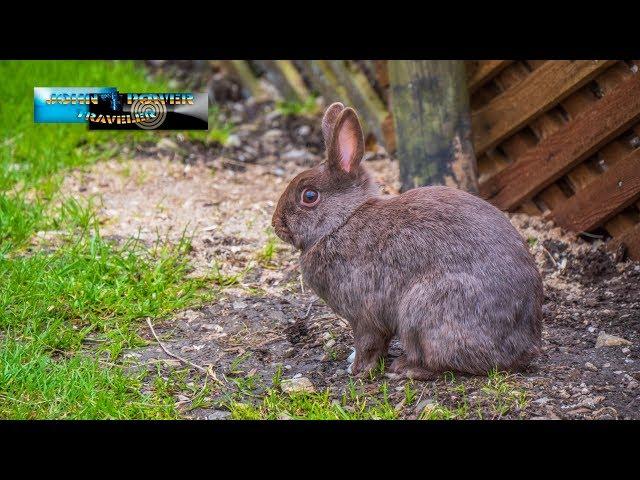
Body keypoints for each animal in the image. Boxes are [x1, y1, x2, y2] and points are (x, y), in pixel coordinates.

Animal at [272, 103, 544, 380]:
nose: (276, 225)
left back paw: (405, 368)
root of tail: (521, 348)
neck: (342, 221)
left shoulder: (364, 315)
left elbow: (368, 343)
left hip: (423, 312)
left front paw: (357, 371)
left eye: (309, 196)